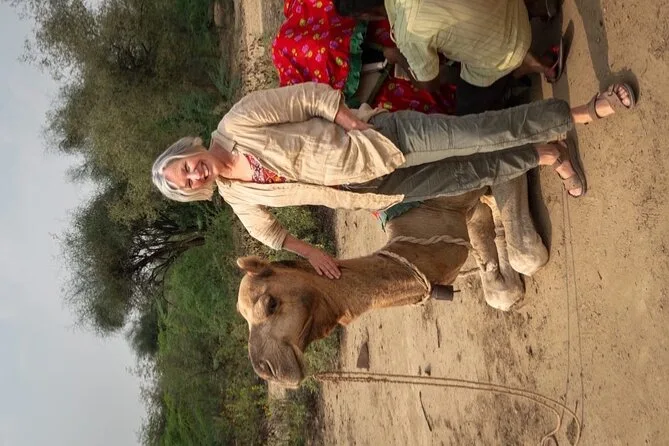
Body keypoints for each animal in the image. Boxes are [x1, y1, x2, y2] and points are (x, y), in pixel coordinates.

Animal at [236, 176, 549, 387]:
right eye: (243, 315)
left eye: (270, 304)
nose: (266, 368)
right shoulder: (464, 214)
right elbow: (500, 286)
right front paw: (506, 285)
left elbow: (528, 256)